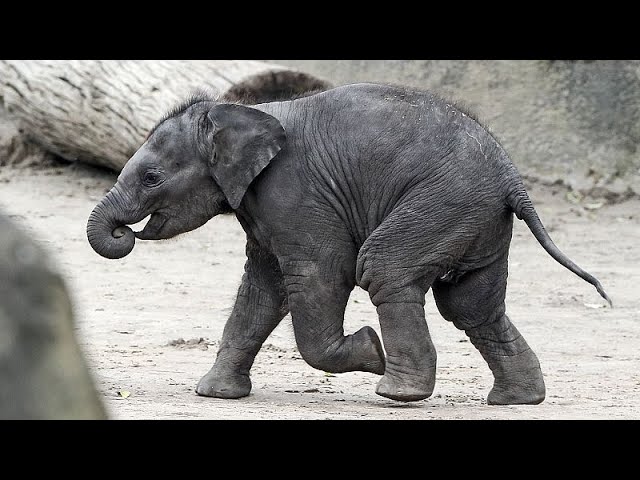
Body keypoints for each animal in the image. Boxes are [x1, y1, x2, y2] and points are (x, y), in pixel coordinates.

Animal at [85, 82, 608, 404]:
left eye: (152, 178)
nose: (125, 232)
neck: (244, 112)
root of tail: (512, 178)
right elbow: (262, 289)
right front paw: (213, 395)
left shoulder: (295, 195)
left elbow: (320, 274)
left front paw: (371, 352)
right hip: (477, 219)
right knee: (470, 304)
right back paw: (517, 399)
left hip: (445, 203)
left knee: (385, 270)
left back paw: (397, 393)